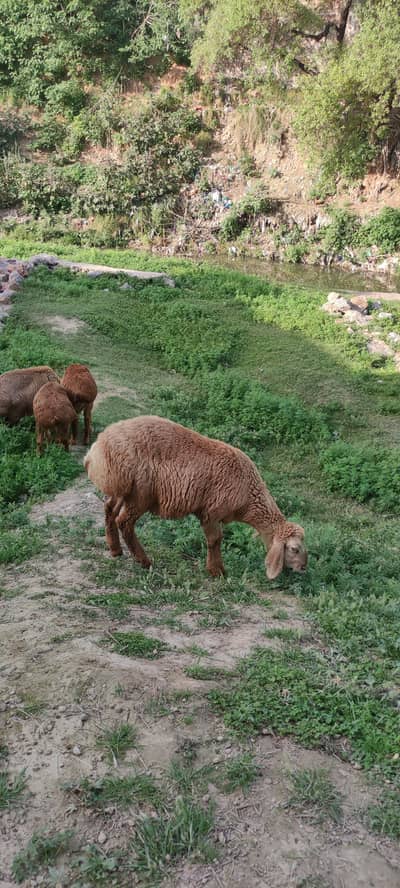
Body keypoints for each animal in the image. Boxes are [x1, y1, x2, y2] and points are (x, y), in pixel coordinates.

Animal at [84, 415, 307, 580]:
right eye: (294, 549)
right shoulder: (211, 512)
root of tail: (98, 447)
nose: (304, 568)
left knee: (109, 510)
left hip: (124, 490)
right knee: (124, 522)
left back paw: (115, 550)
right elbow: (215, 540)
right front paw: (217, 571)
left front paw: (217, 569)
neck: (249, 497)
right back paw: (144, 561)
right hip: (140, 493)